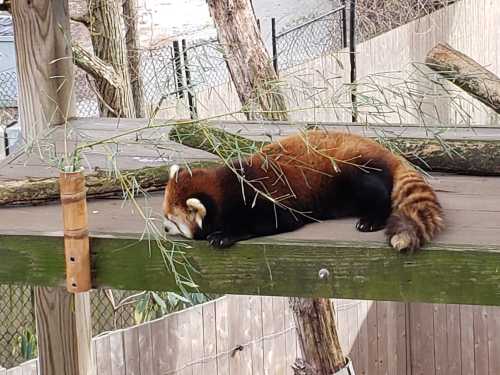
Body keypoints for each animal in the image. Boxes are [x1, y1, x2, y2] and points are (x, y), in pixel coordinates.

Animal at [162, 131, 444, 251]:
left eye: (172, 221)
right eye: (166, 217)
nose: (164, 229)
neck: (225, 186)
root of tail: (389, 153)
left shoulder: (262, 197)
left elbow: (270, 221)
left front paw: (224, 235)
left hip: (352, 168)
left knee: (377, 192)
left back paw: (371, 219)